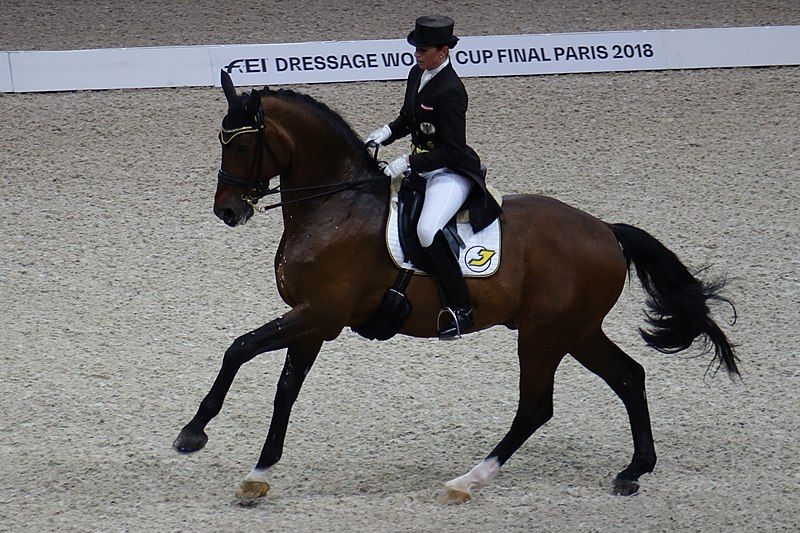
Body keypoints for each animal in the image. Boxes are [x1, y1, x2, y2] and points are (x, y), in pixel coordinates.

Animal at [172, 71, 740, 502]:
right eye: (221, 139)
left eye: (243, 142)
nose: (228, 211)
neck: (334, 205)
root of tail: (606, 231)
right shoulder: (312, 321)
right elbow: (284, 389)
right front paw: (257, 474)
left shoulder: (319, 314)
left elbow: (238, 348)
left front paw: (194, 433)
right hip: (575, 332)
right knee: (628, 377)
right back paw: (633, 470)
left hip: (543, 336)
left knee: (537, 407)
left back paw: (467, 480)